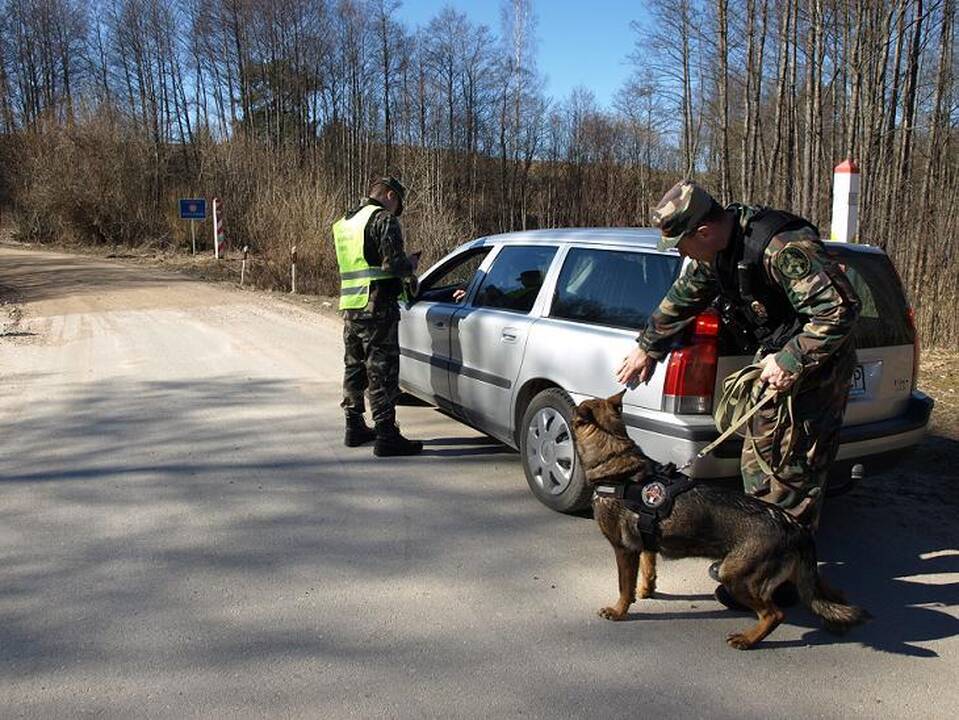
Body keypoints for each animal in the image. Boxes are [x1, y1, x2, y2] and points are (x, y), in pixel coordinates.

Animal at [572, 390, 872, 648]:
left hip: (733, 575)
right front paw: (646, 591)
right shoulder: (645, 545)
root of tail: (794, 526)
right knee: (830, 594)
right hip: (794, 577)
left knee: (774, 614)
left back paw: (748, 639)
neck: (616, 464)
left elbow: (624, 587)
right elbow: (648, 570)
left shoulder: (623, 550)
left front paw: (619, 611)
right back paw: (838, 621)